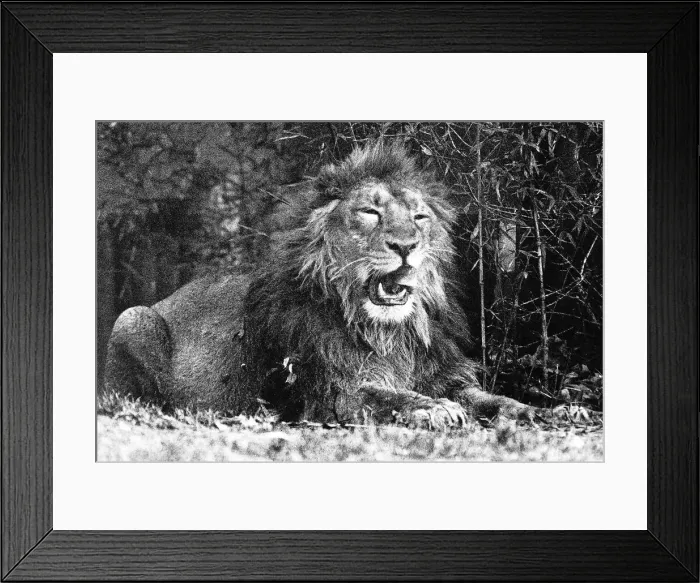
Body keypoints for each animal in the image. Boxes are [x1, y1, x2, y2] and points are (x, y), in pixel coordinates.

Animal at [104, 141, 533, 429]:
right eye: (370, 212)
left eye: (419, 217)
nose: (406, 246)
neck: (389, 332)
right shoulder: (333, 391)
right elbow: (389, 397)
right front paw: (432, 407)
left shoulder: (443, 373)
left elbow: (488, 397)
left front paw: (530, 409)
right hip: (132, 318)